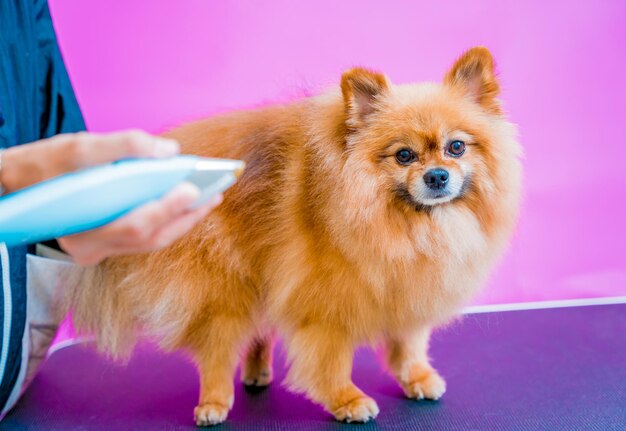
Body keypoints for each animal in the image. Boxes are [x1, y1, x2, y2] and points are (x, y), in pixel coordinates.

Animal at [63, 46, 520, 426]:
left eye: (456, 147)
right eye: (404, 155)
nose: (437, 175)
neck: (408, 225)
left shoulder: (407, 290)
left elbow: (408, 345)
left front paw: (418, 378)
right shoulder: (325, 306)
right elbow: (331, 361)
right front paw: (347, 400)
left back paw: (257, 371)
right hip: (223, 288)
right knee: (217, 350)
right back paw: (213, 402)